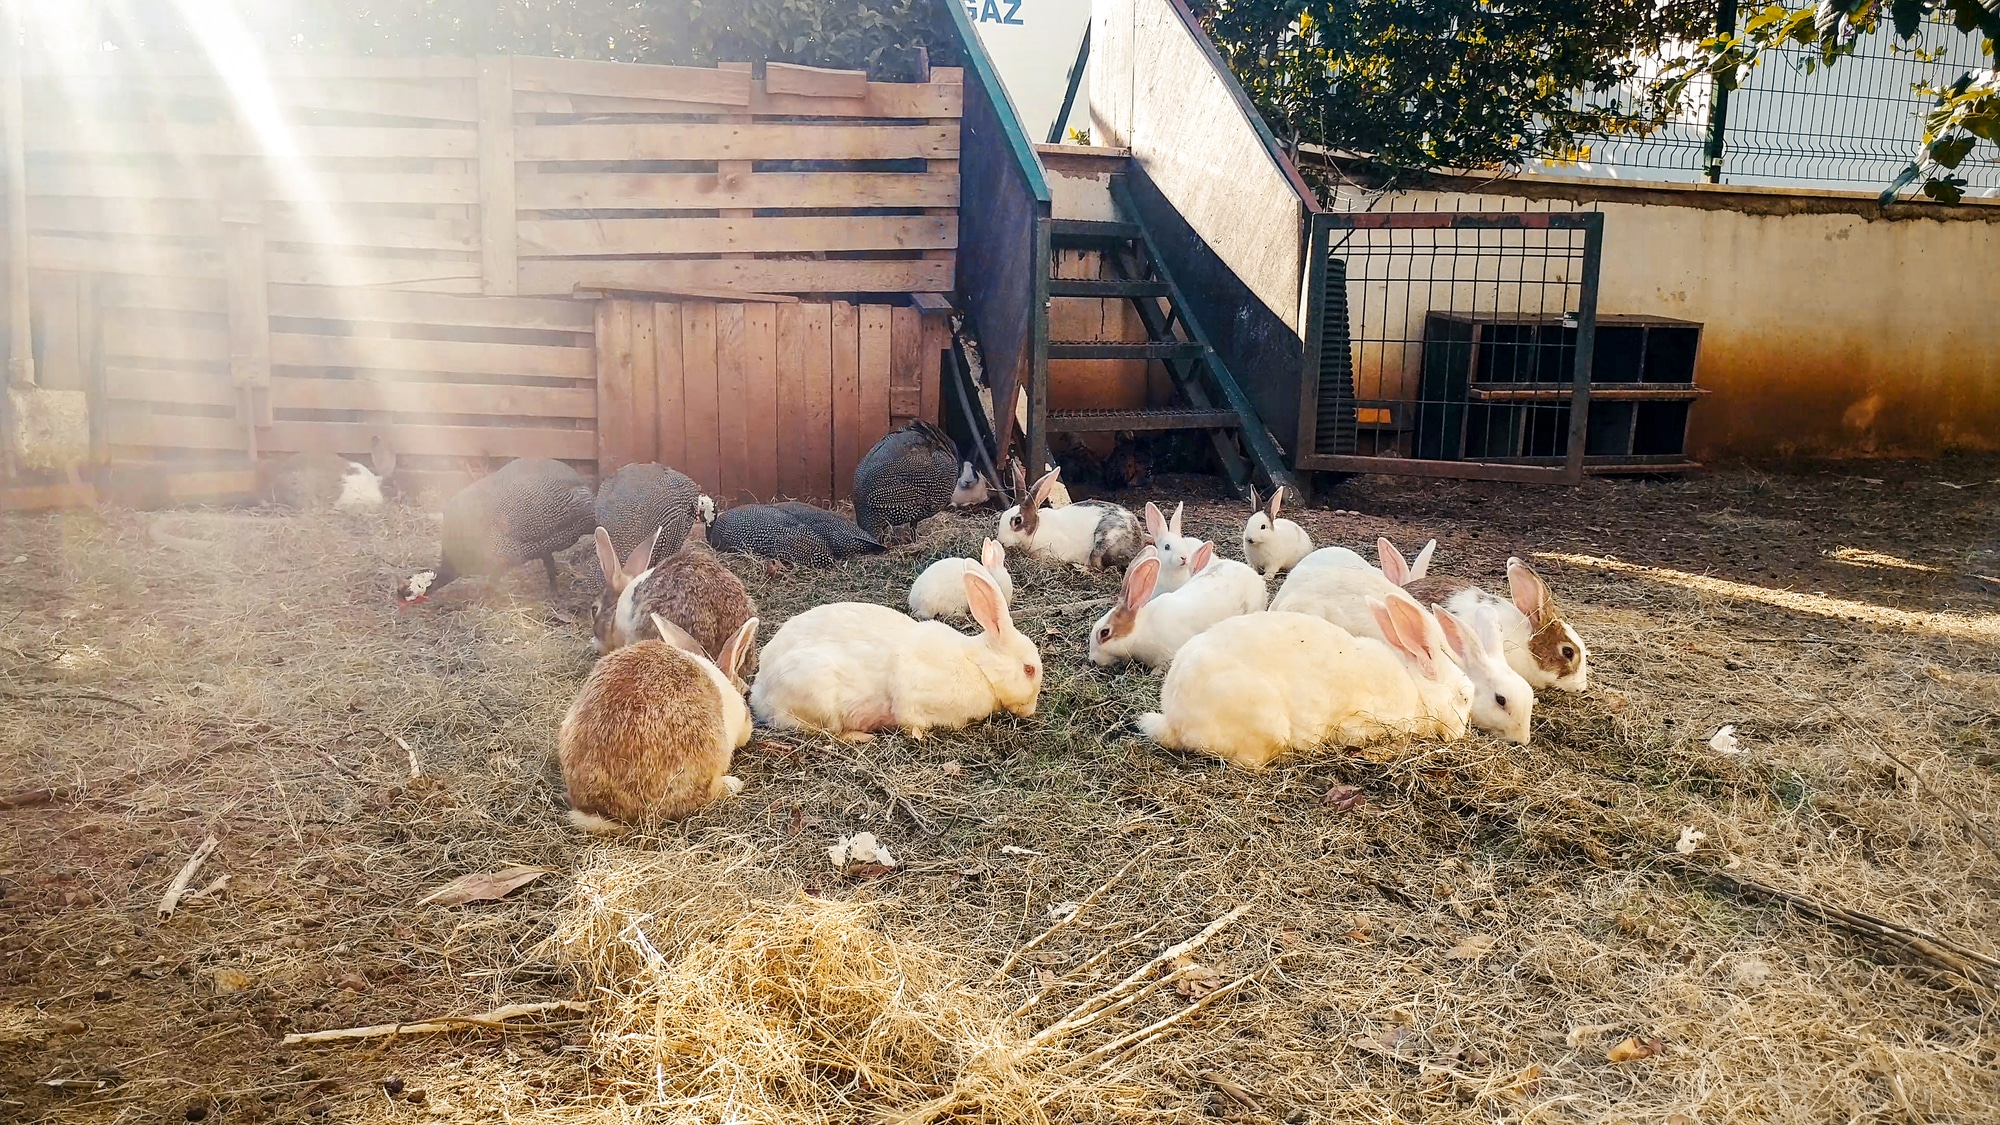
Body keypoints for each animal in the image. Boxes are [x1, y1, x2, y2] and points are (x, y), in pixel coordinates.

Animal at [749, 568, 1041, 741]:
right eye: (1029, 669)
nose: (1030, 711)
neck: (979, 666)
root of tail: (760, 691)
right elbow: (911, 722)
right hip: (816, 695)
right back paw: (861, 736)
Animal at [1137, 597, 1471, 771]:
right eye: (1465, 697)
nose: (1462, 733)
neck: (1416, 689)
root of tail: (1174, 720)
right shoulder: (1361, 724)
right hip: (1265, 720)